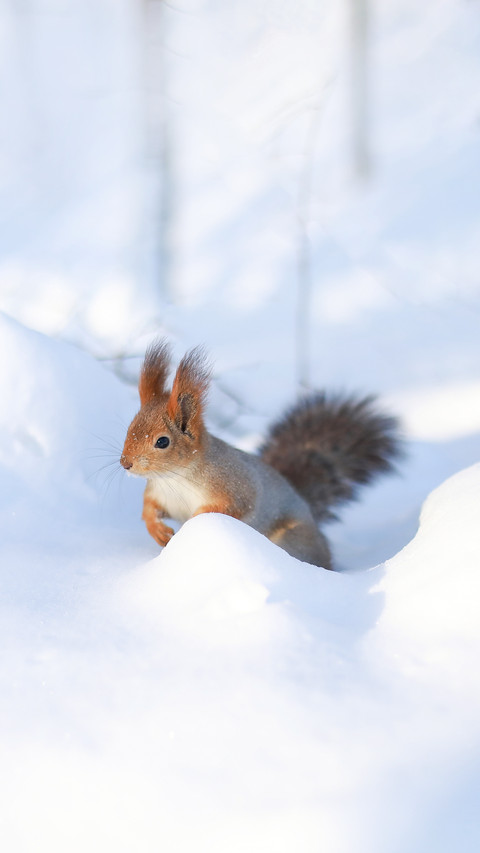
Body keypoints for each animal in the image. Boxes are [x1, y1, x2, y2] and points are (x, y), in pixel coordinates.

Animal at [120, 339, 401, 569]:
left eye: (162, 441)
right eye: (129, 428)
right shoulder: (159, 493)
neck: (175, 477)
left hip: (292, 539)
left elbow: (229, 507)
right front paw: (158, 531)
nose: (125, 463)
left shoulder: (234, 485)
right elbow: (149, 508)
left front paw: (191, 524)